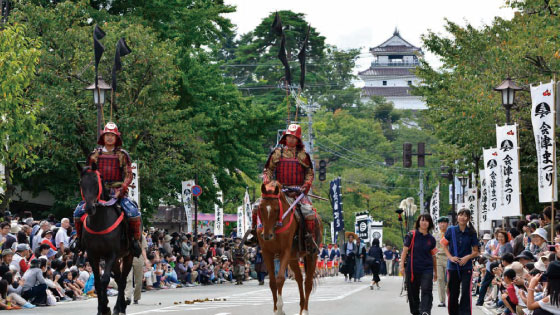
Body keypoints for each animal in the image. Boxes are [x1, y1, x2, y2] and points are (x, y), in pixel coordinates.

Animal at [258, 183, 324, 315]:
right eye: (261, 208)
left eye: (276, 209)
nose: (267, 236)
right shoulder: (267, 253)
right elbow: (272, 282)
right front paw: (275, 310)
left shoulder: (285, 251)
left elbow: (280, 279)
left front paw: (280, 309)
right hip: (293, 258)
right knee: (299, 278)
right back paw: (301, 306)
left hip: (311, 254)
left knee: (307, 283)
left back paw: (305, 310)